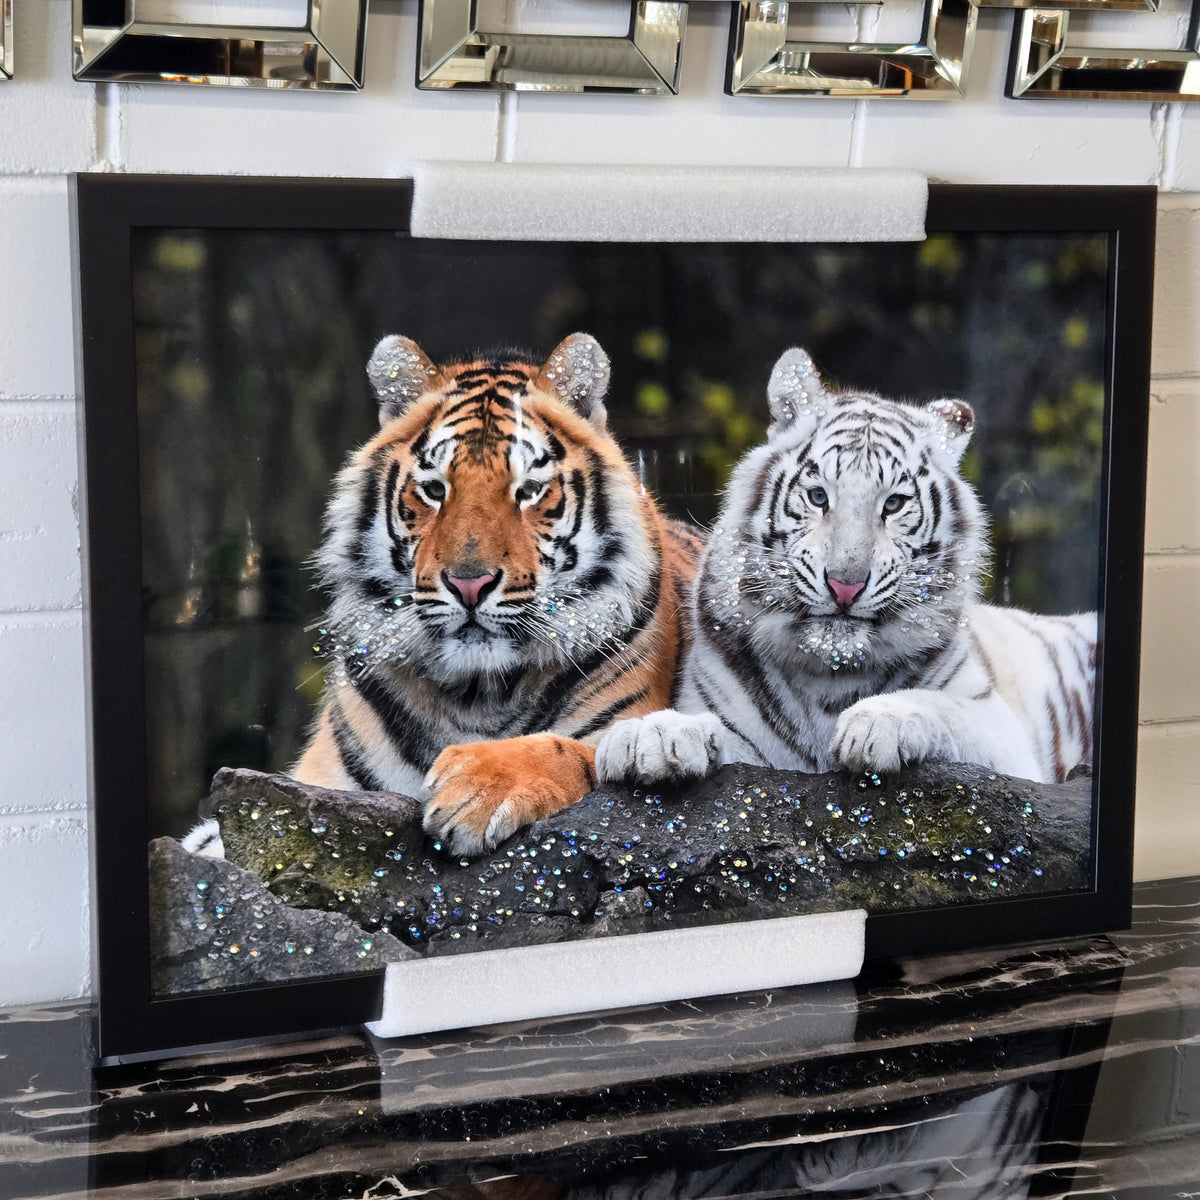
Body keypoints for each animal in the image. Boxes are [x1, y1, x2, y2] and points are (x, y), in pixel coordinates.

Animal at [595, 347, 1095, 790]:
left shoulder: (1005, 739)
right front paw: (649, 737)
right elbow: (707, 726)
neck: (828, 679)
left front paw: (877, 724)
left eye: (893, 504)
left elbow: (941, 706)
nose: (845, 586)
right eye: (818, 496)